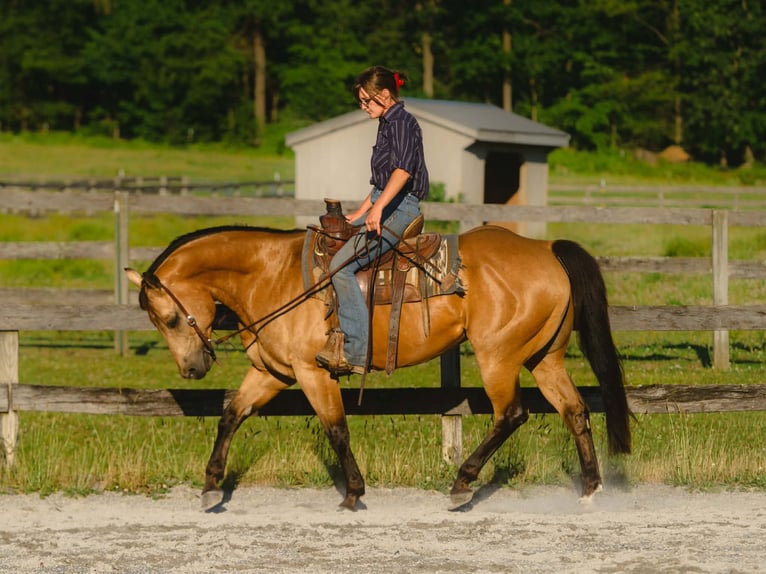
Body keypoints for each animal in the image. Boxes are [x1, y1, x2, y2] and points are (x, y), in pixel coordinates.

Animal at [126, 223, 631, 511]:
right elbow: (232, 413)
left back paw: (462, 484)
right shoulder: (274, 372)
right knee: (574, 410)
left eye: (170, 318)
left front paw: (353, 492)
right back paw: (590, 487)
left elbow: (335, 429)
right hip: (545, 358)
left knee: (511, 414)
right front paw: (212, 485)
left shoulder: (313, 373)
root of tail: (545, 248)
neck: (273, 275)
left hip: (498, 358)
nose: (192, 369)